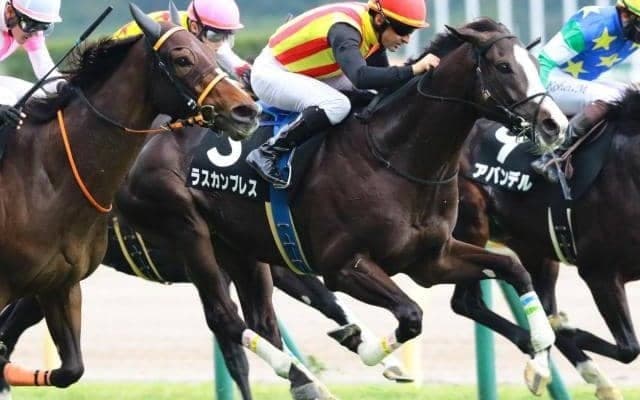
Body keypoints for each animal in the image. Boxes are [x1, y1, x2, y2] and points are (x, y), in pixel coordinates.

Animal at [0, 3, 258, 391]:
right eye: (182, 59)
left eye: (213, 55)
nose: (247, 110)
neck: (49, 176)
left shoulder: (60, 283)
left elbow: (69, 370)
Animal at [453, 88, 640, 400]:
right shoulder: (599, 272)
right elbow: (629, 348)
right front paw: (565, 328)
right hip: (471, 224)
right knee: (465, 303)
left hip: (536, 251)